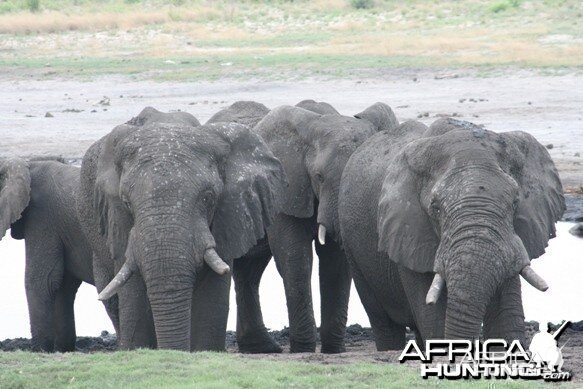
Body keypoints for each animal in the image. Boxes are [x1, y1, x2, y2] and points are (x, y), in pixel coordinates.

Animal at [0, 155, 118, 352]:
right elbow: (62, 286)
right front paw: (63, 349)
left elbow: (41, 280)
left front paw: (41, 350)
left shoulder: (42, 218)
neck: (27, 165)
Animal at [209, 99, 402, 352]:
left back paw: (261, 347)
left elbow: (335, 265)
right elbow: (294, 259)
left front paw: (333, 350)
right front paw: (304, 348)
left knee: (249, 271)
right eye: (319, 176)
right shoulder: (286, 190)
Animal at [338, 117, 564, 348]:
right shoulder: (410, 234)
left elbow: (505, 321)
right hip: (354, 250)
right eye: (435, 208)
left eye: (515, 203)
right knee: (385, 325)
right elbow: (434, 320)